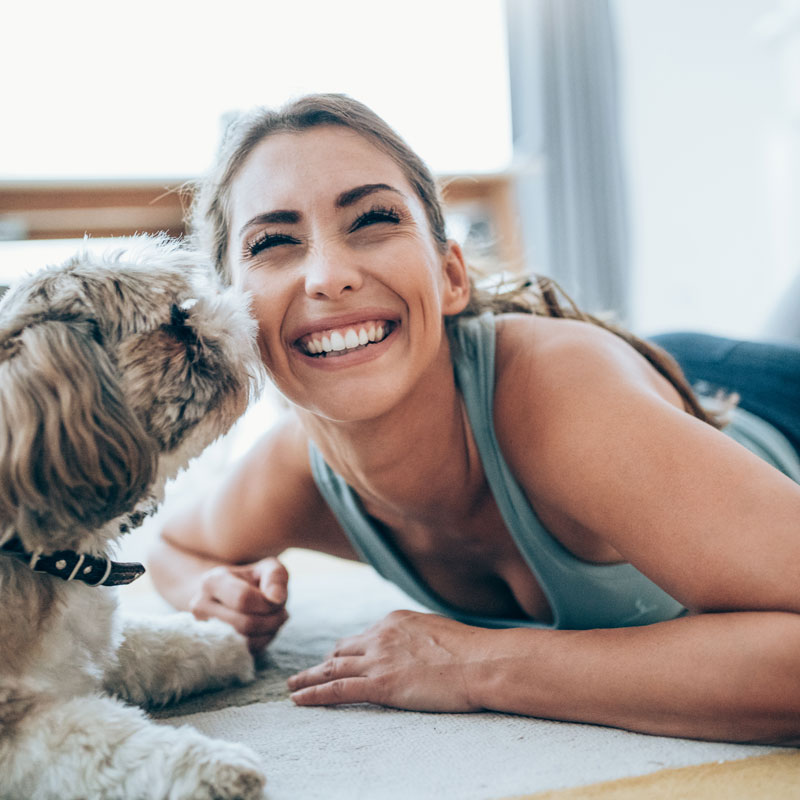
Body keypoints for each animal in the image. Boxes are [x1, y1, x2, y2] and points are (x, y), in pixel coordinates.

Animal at [0, 238, 268, 800]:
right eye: (174, 321)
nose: (231, 310)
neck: (42, 556)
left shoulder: (94, 640)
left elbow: (151, 641)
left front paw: (223, 643)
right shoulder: (14, 725)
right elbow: (102, 742)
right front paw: (213, 767)